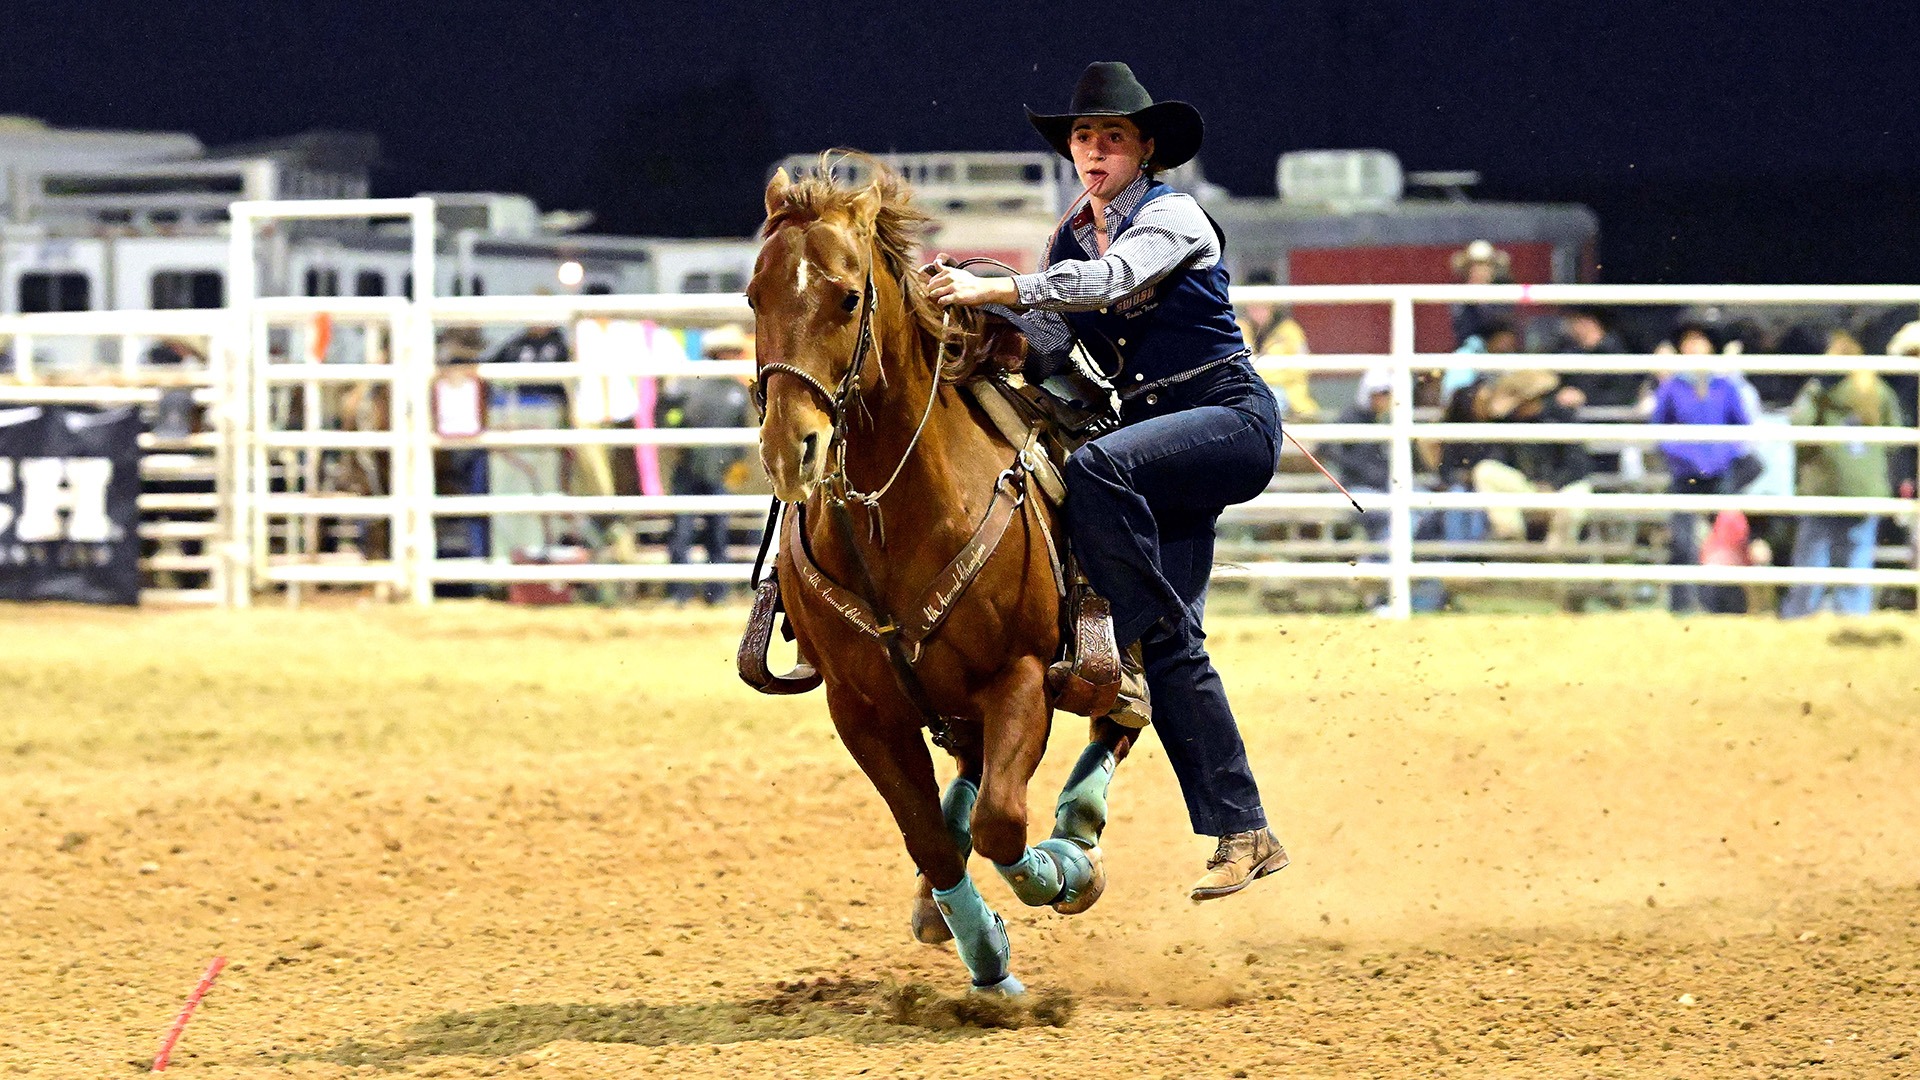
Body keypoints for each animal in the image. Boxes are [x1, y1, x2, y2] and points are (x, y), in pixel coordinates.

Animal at [750, 156, 1126, 994]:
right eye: (754, 296)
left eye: (847, 296)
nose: (792, 448)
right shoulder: (860, 710)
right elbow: (928, 833)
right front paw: (982, 950)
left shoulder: (1021, 675)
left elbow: (1003, 824)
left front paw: (1058, 877)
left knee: (1120, 718)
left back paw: (1078, 841)